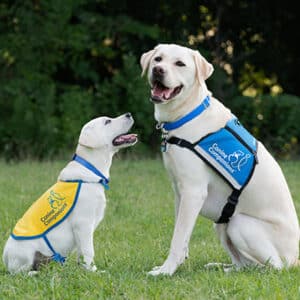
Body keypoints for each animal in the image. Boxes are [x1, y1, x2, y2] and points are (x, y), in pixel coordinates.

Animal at [2, 112, 138, 274]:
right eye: (107, 121)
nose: (129, 114)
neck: (91, 168)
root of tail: (5, 260)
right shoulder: (83, 224)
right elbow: (88, 250)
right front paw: (93, 271)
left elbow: (82, 252)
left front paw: (84, 270)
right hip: (25, 254)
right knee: (20, 272)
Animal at [141, 43, 300, 276]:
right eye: (158, 59)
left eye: (180, 63)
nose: (158, 70)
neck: (188, 114)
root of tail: (295, 259)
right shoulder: (179, 192)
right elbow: (182, 234)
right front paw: (173, 265)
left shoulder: (193, 191)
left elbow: (177, 238)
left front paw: (166, 271)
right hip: (221, 223)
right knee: (243, 264)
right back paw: (221, 268)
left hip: (239, 223)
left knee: (272, 267)